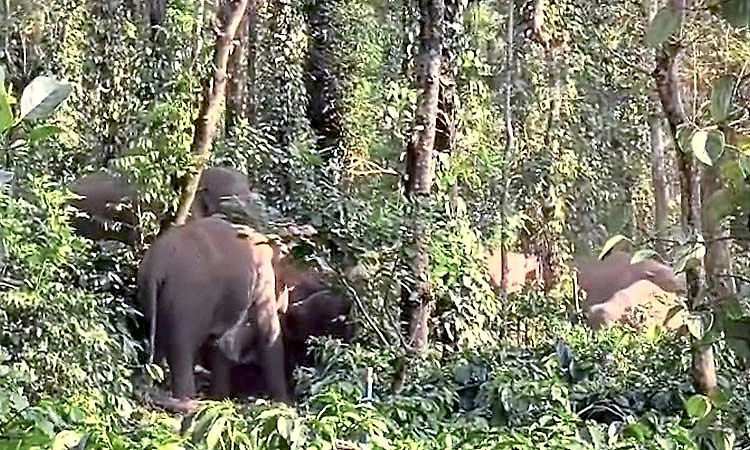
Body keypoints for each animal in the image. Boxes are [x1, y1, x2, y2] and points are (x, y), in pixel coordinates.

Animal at [136, 216, 293, 406]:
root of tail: (157, 264)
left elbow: (219, 344)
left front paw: (219, 399)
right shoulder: (262, 279)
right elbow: (268, 331)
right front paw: (284, 404)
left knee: (160, 340)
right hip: (189, 298)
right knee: (181, 345)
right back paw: (188, 400)